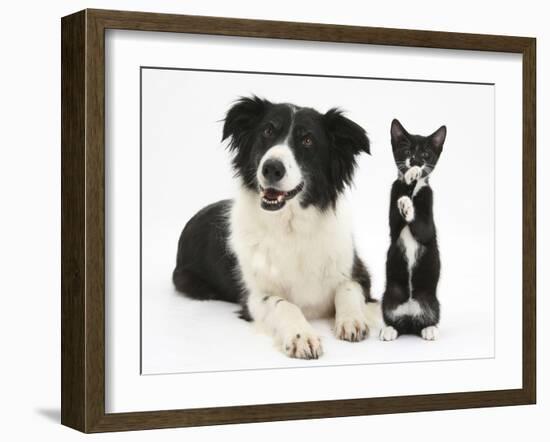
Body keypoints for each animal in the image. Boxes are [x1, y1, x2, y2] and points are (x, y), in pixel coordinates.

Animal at [174, 96, 380, 360]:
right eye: (267, 131)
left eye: (307, 140)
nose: (272, 168)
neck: (290, 226)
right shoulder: (253, 296)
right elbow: (283, 304)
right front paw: (302, 336)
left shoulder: (358, 271)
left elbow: (347, 288)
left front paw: (352, 319)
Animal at [382, 118, 450, 342]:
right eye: (407, 150)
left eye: (426, 154)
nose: (415, 161)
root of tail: (410, 317)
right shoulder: (393, 219)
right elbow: (396, 219)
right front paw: (409, 179)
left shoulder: (428, 221)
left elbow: (424, 229)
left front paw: (413, 177)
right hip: (390, 296)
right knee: (395, 321)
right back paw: (389, 329)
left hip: (431, 299)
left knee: (429, 319)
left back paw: (430, 329)